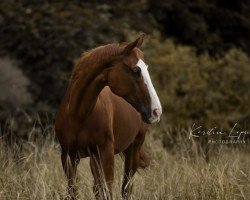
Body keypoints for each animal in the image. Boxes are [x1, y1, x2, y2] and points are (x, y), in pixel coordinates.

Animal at [55, 34, 162, 198]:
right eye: (136, 70)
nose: (156, 111)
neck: (78, 115)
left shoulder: (106, 153)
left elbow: (108, 191)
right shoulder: (68, 156)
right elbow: (73, 191)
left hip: (133, 151)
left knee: (125, 189)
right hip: (94, 159)